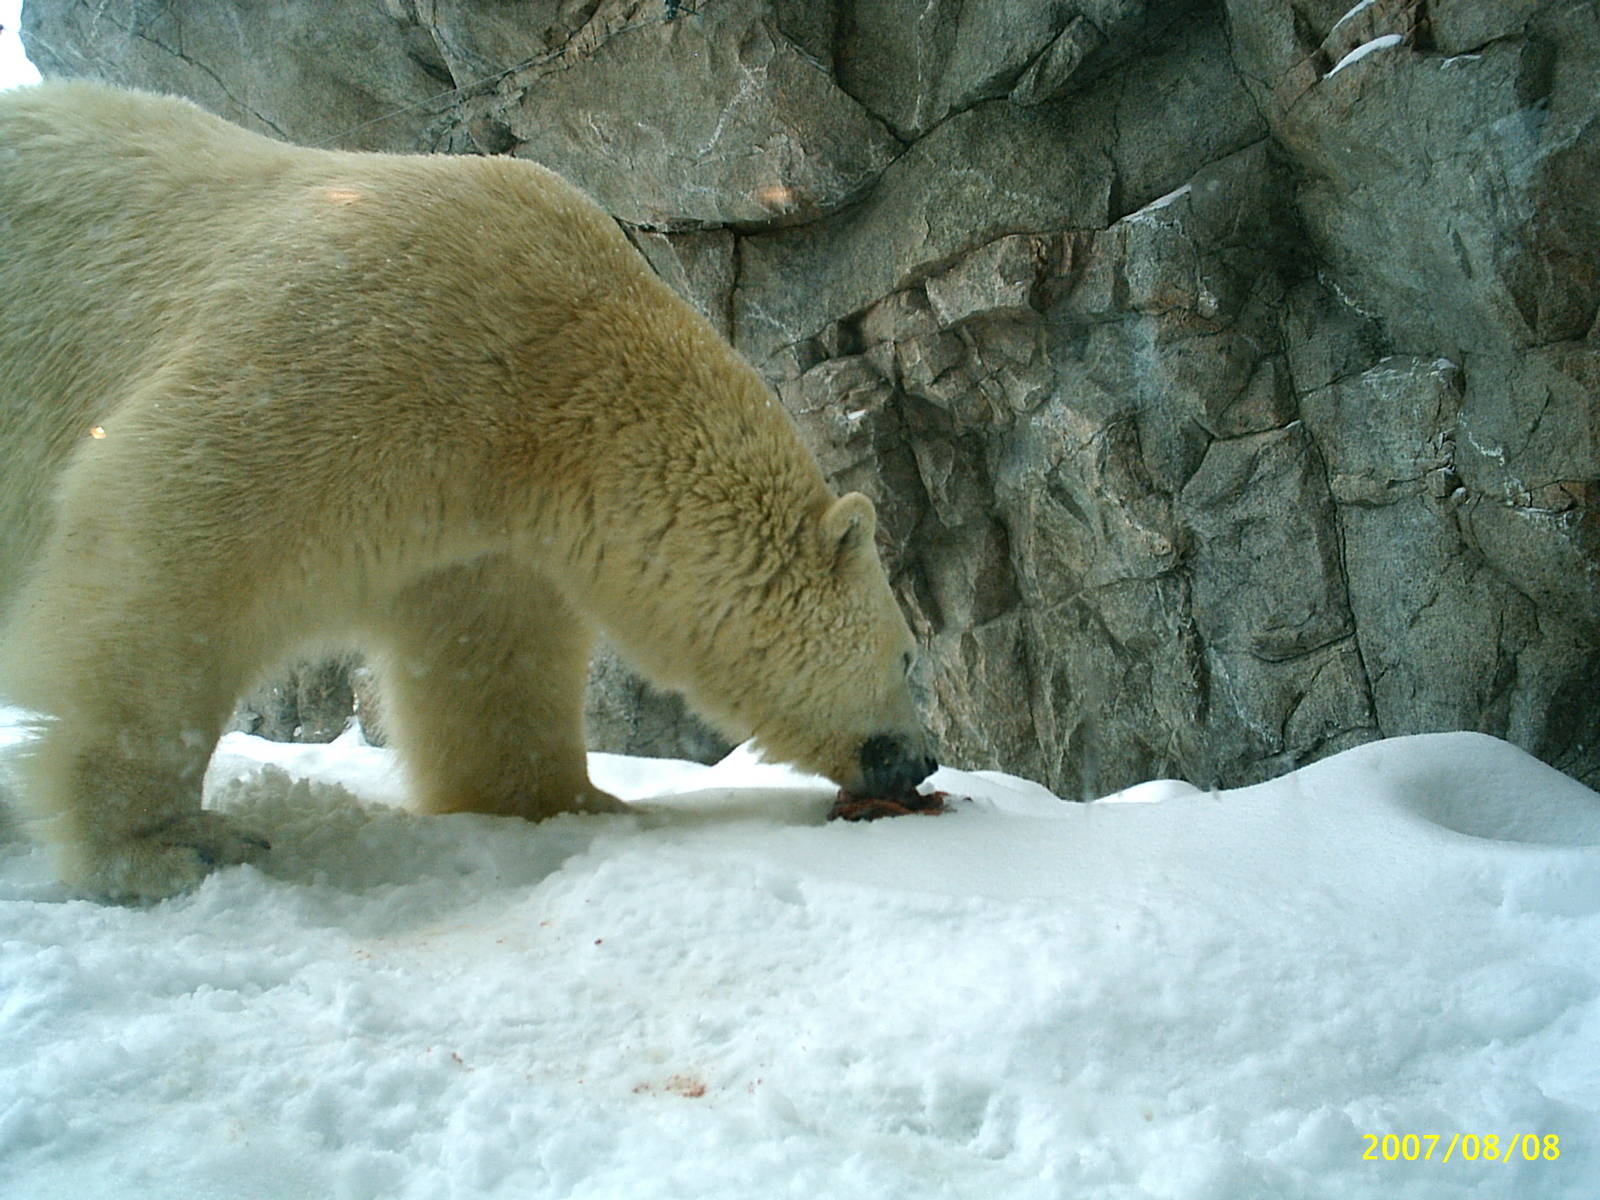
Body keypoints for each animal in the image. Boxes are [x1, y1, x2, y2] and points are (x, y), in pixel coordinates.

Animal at [0, 81, 936, 902]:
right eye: (908, 658)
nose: (922, 759)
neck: (555, 374)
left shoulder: (483, 519)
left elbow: (488, 661)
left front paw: (573, 802)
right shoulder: (345, 353)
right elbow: (166, 556)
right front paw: (167, 846)